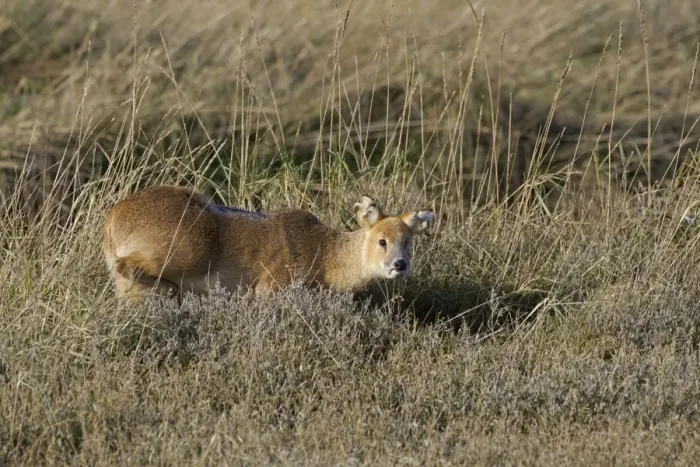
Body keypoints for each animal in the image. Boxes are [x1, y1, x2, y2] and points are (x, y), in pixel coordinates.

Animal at [102, 184, 434, 304]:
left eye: (407, 241)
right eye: (382, 240)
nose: (400, 265)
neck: (323, 253)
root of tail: (113, 218)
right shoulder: (271, 288)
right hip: (184, 253)